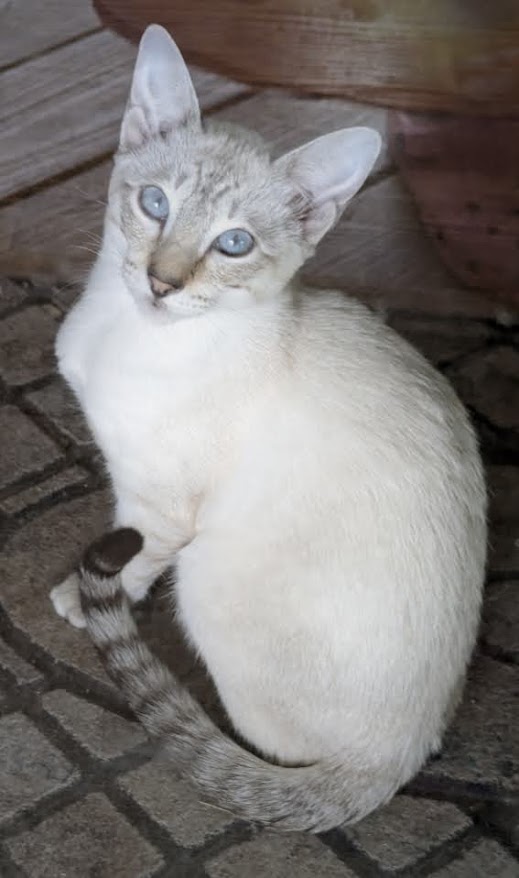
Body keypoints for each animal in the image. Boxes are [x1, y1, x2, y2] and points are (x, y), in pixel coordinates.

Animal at [49, 22, 488, 832]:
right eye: (154, 203)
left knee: (266, 749)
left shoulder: (161, 506)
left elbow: (131, 556)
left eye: (234, 245)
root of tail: (398, 759)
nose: (161, 282)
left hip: (204, 576)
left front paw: (81, 597)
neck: (125, 333)